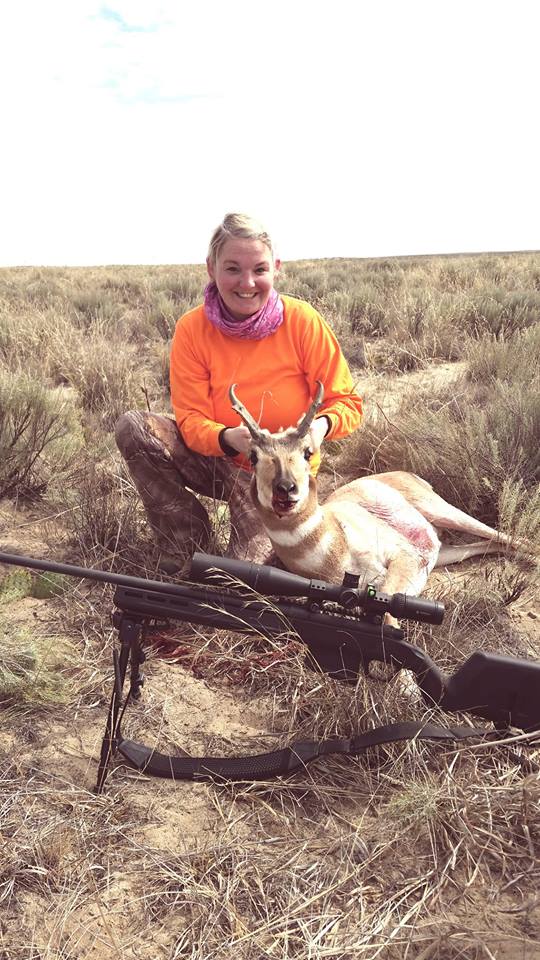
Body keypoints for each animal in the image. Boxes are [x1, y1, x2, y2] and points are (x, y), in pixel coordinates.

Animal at [229, 382, 516, 624]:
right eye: (253, 456)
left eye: (307, 451)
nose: (286, 489)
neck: (335, 545)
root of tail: (408, 474)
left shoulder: (403, 557)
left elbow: (388, 614)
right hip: (444, 552)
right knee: (492, 544)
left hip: (444, 512)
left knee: (510, 538)